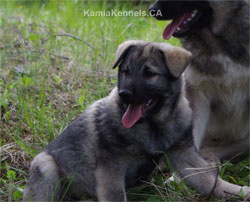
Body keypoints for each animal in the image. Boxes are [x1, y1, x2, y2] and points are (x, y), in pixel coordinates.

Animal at [22, 40, 193, 201]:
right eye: (125, 72)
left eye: (150, 74)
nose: (124, 94)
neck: (152, 126)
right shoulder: (110, 168)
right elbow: (114, 194)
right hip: (46, 166)